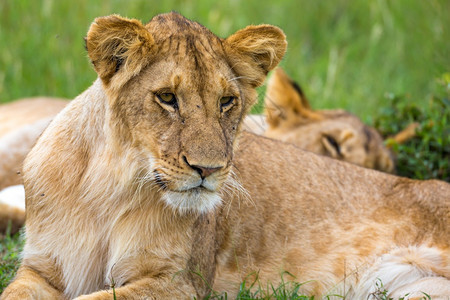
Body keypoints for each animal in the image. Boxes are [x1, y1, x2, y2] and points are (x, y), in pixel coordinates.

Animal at [3, 12, 450, 300]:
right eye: (167, 98)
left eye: (227, 102)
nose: (209, 169)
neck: (108, 186)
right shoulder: (41, 268)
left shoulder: (179, 283)